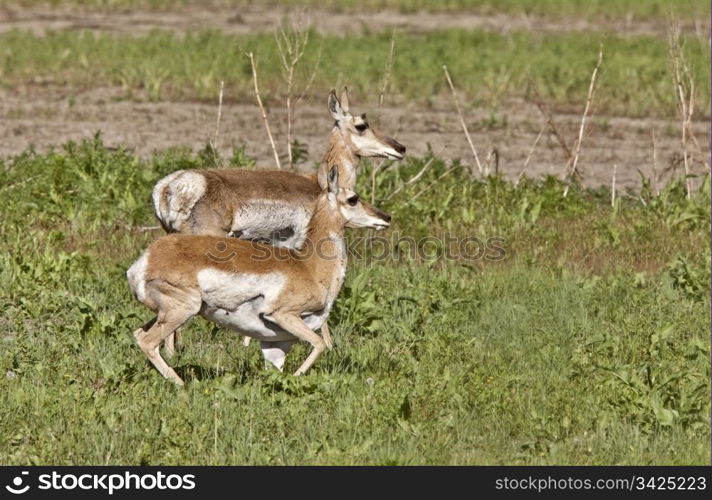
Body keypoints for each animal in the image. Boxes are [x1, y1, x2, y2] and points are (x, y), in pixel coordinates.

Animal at [129, 166, 394, 384]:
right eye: (353, 198)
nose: (386, 217)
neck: (309, 266)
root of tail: (148, 259)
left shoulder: (275, 344)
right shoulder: (283, 315)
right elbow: (319, 344)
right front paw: (297, 377)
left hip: (166, 313)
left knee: (139, 333)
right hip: (184, 309)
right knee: (148, 342)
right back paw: (180, 383)